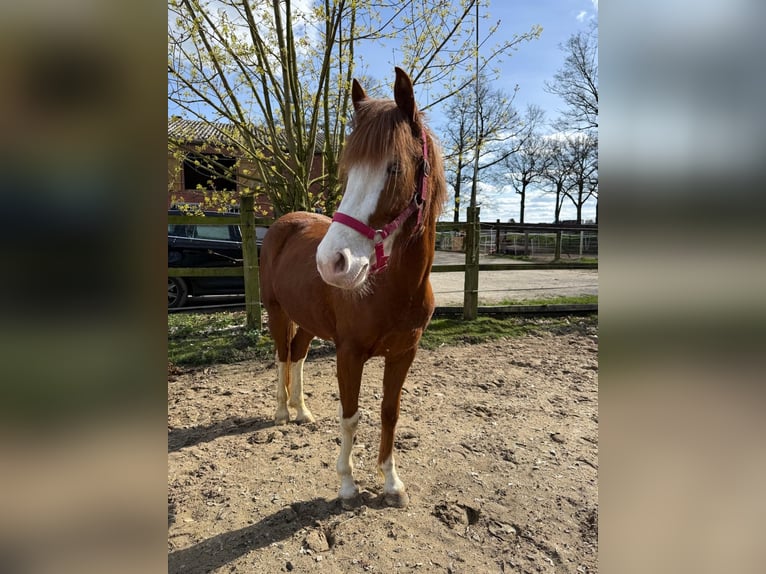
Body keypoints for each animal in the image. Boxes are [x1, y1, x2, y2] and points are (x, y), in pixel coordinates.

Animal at [258, 67, 446, 507]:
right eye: (347, 172)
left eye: (395, 168)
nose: (331, 262)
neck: (394, 290)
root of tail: (283, 224)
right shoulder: (349, 353)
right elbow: (350, 415)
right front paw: (347, 484)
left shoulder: (404, 354)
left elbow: (389, 413)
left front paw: (391, 482)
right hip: (276, 311)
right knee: (281, 356)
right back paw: (281, 412)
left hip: (307, 320)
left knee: (297, 355)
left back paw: (302, 411)